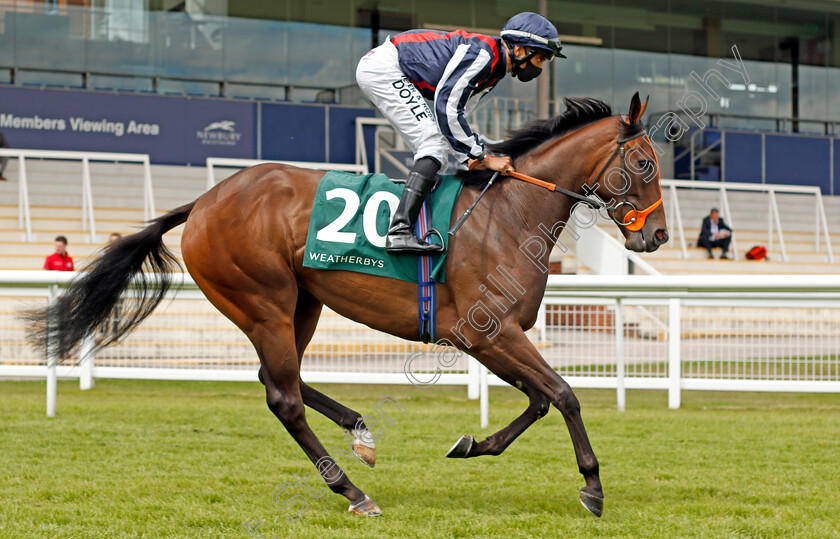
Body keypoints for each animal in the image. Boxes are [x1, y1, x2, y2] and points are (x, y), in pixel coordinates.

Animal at [27, 92, 668, 520]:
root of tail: (206, 200)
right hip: (262, 301)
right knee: (283, 397)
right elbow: (562, 393)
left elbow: (538, 400)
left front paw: (470, 445)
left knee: (278, 379)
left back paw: (360, 433)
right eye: (643, 164)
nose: (658, 235)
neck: (508, 214)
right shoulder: (487, 333)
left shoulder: (489, 338)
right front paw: (592, 488)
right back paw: (351, 491)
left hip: (301, 304)